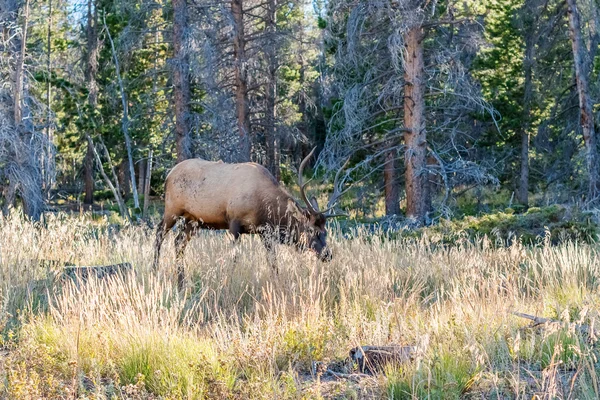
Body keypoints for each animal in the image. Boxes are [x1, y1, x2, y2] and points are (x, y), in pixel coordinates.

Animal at [155, 147, 350, 288]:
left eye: (325, 231)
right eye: (310, 230)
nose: (327, 254)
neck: (263, 205)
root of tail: (168, 175)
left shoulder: (264, 232)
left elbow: (273, 261)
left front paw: (277, 284)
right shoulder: (234, 224)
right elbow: (234, 258)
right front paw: (228, 282)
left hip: (193, 220)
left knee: (178, 242)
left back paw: (181, 281)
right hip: (172, 209)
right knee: (159, 234)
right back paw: (154, 270)